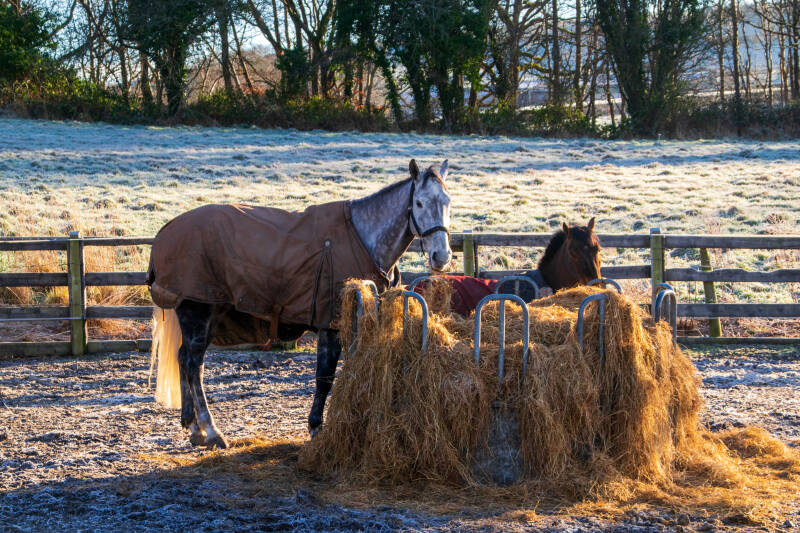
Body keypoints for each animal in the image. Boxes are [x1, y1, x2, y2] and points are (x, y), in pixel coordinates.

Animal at [147, 159, 452, 448]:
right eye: (419, 203)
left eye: (447, 201)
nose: (442, 256)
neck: (362, 237)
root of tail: (166, 231)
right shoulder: (331, 325)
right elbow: (324, 377)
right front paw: (316, 426)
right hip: (198, 311)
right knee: (192, 363)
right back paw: (210, 430)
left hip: (205, 314)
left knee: (183, 358)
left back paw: (193, 427)